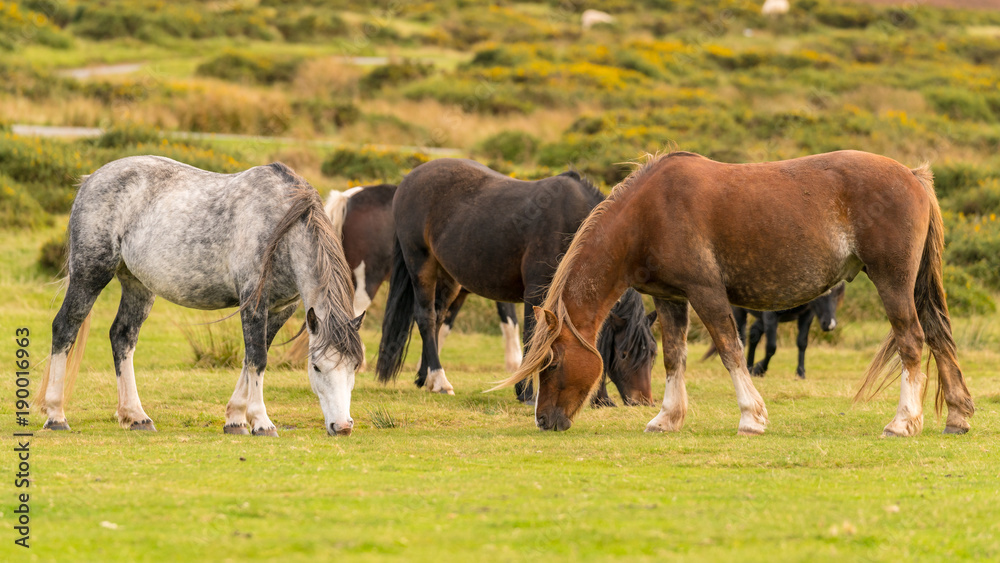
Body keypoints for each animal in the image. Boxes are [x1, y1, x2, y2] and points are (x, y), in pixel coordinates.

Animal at [36, 156, 364, 438]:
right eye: (316, 366)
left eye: (355, 366)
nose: (342, 426)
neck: (280, 225)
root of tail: (91, 179)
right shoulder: (253, 302)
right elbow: (258, 358)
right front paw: (261, 422)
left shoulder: (282, 308)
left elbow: (250, 358)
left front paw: (235, 419)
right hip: (90, 274)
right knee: (65, 328)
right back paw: (56, 415)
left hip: (137, 284)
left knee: (123, 337)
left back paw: (136, 416)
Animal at [376, 160, 656, 406]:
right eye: (625, 353)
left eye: (652, 354)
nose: (642, 401)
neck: (574, 224)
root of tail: (409, 179)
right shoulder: (535, 294)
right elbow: (532, 337)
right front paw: (526, 392)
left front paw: (601, 399)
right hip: (421, 264)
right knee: (426, 317)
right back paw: (439, 379)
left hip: (449, 277)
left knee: (438, 316)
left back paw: (426, 377)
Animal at [704, 284, 844, 382]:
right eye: (822, 295)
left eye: (837, 294)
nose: (830, 324)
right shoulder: (770, 316)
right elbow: (771, 347)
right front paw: (760, 369)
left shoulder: (807, 315)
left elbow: (802, 343)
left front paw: (800, 373)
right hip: (739, 313)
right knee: (741, 338)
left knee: (754, 335)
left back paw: (749, 367)